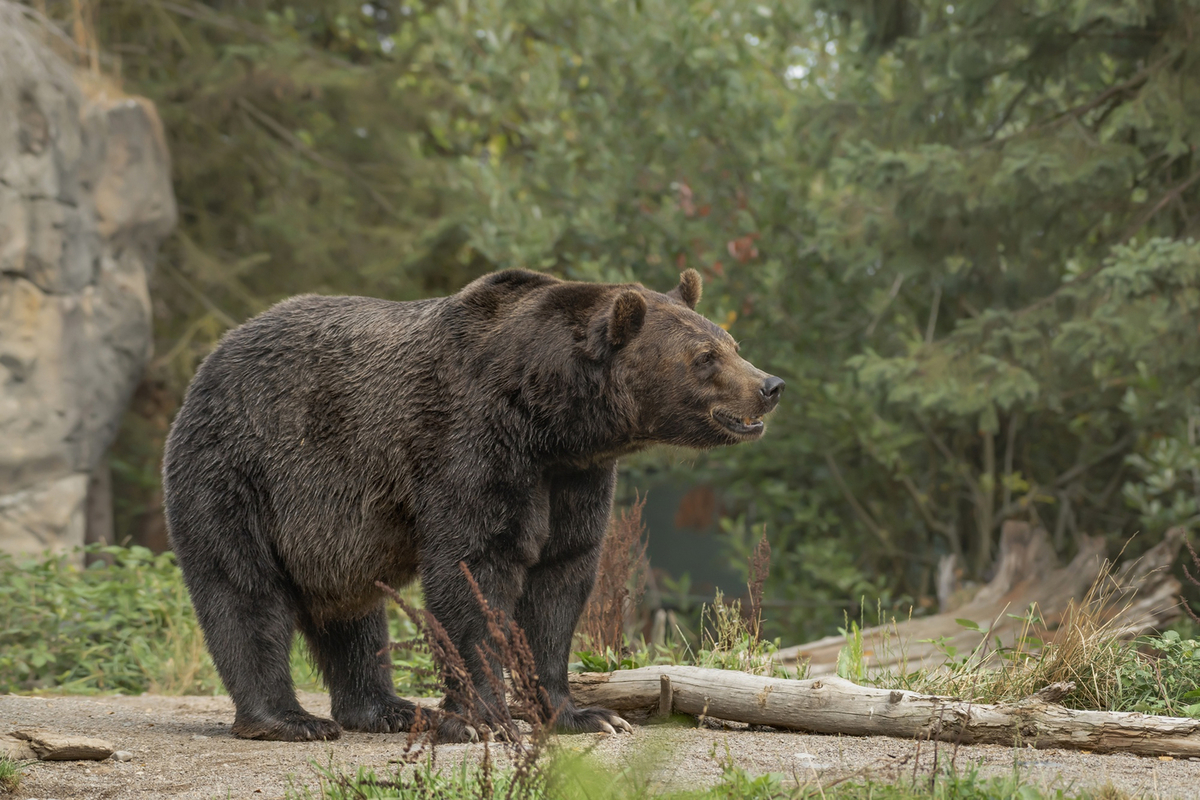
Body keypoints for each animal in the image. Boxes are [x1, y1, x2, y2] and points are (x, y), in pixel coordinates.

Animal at [162, 271, 777, 743]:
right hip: (240, 472)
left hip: (330, 534)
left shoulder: (573, 479)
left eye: (732, 342)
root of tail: (210, 360)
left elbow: (560, 582)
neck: (550, 419)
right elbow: (473, 572)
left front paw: (585, 715)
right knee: (243, 591)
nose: (770, 385)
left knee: (354, 615)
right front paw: (486, 719)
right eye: (704, 356)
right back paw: (289, 720)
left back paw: (388, 709)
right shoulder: (471, 444)